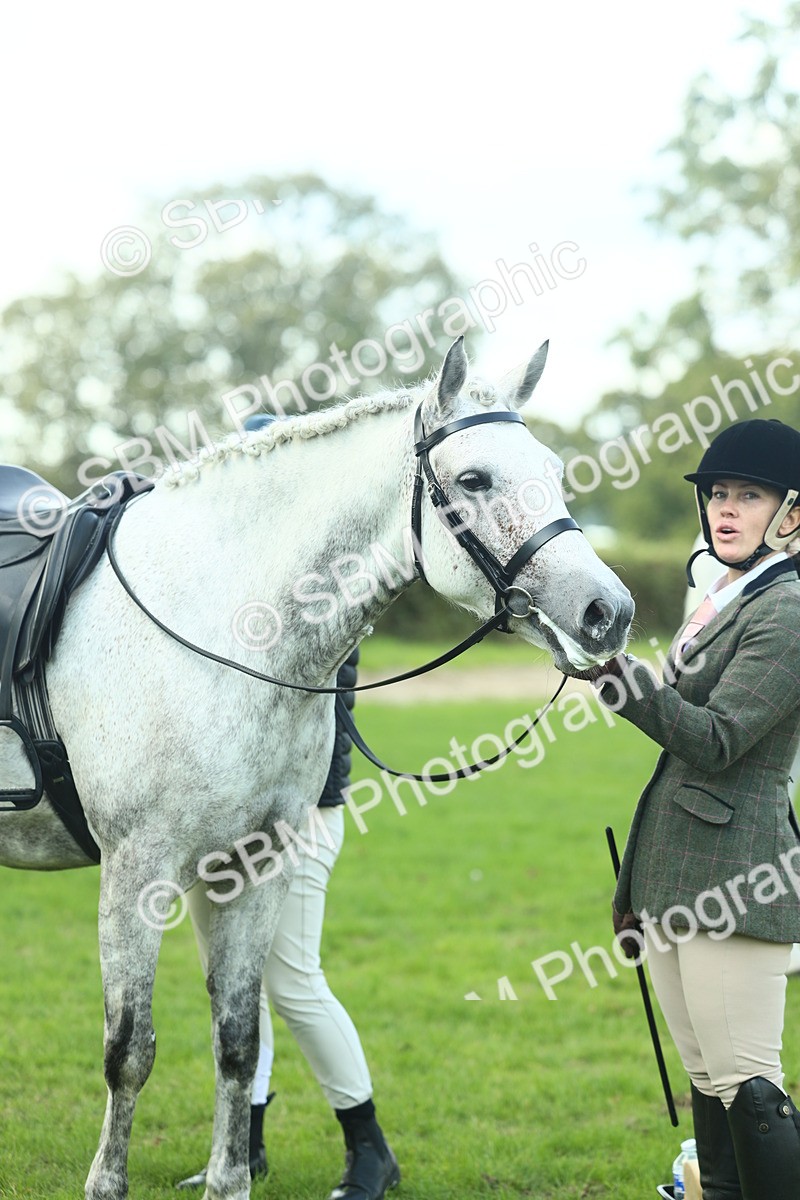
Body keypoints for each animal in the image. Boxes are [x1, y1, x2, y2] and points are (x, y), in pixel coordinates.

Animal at [0, 337, 633, 1200]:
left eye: (555, 471)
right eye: (474, 480)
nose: (609, 612)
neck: (217, 623)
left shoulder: (252, 864)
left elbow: (237, 1040)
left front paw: (230, 1178)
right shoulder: (136, 870)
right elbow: (129, 1050)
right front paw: (107, 1184)